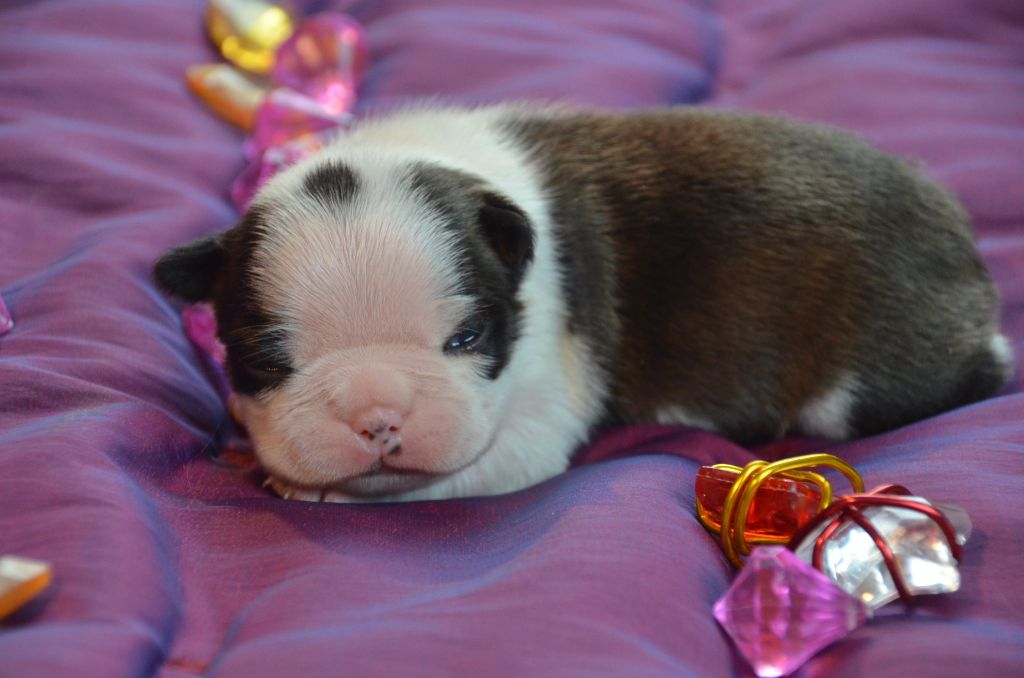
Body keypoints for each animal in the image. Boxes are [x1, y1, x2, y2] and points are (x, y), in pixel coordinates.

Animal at [154, 103, 1013, 502]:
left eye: (467, 339)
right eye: (267, 362)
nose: (378, 416)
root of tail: (953, 225)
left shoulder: (533, 424)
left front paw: (302, 486)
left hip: (864, 383)